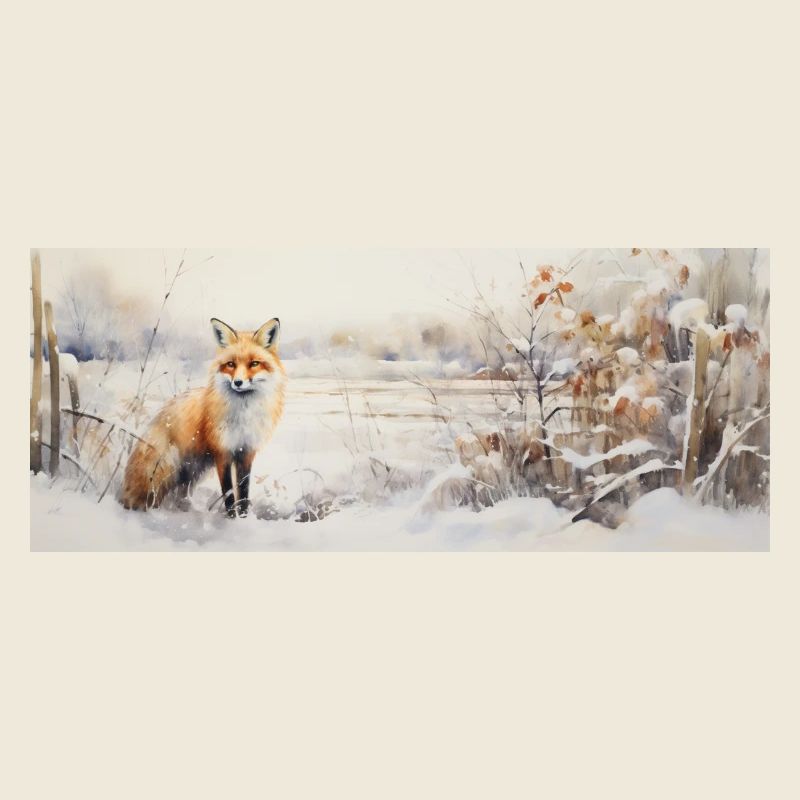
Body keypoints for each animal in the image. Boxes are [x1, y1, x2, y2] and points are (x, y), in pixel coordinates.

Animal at [121, 317, 286, 516]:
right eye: (231, 364)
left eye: (254, 363)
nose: (238, 382)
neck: (243, 415)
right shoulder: (222, 452)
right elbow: (229, 493)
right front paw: (232, 519)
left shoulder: (246, 452)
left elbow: (243, 491)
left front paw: (244, 517)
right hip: (169, 466)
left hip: (193, 470)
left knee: (179, 492)